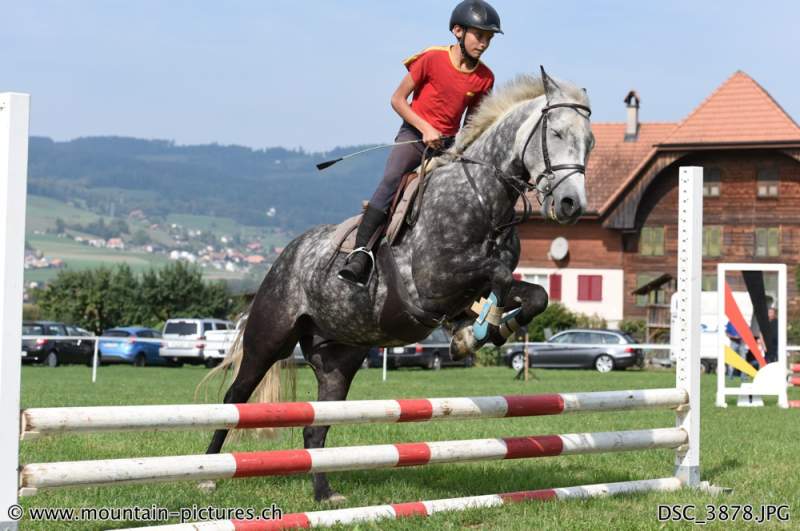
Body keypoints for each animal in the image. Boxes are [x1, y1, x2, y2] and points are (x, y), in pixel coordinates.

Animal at [206, 68, 592, 504]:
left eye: (590, 142)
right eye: (556, 133)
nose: (571, 205)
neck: (482, 199)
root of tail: (286, 255)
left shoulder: (468, 286)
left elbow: (534, 294)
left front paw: (485, 331)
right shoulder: (435, 283)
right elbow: (498, 276)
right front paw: (473, 333)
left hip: (339, 360)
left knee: (315, 427)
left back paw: (325, 495)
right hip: (269, 338)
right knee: (234, 399)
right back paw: (208, 474)